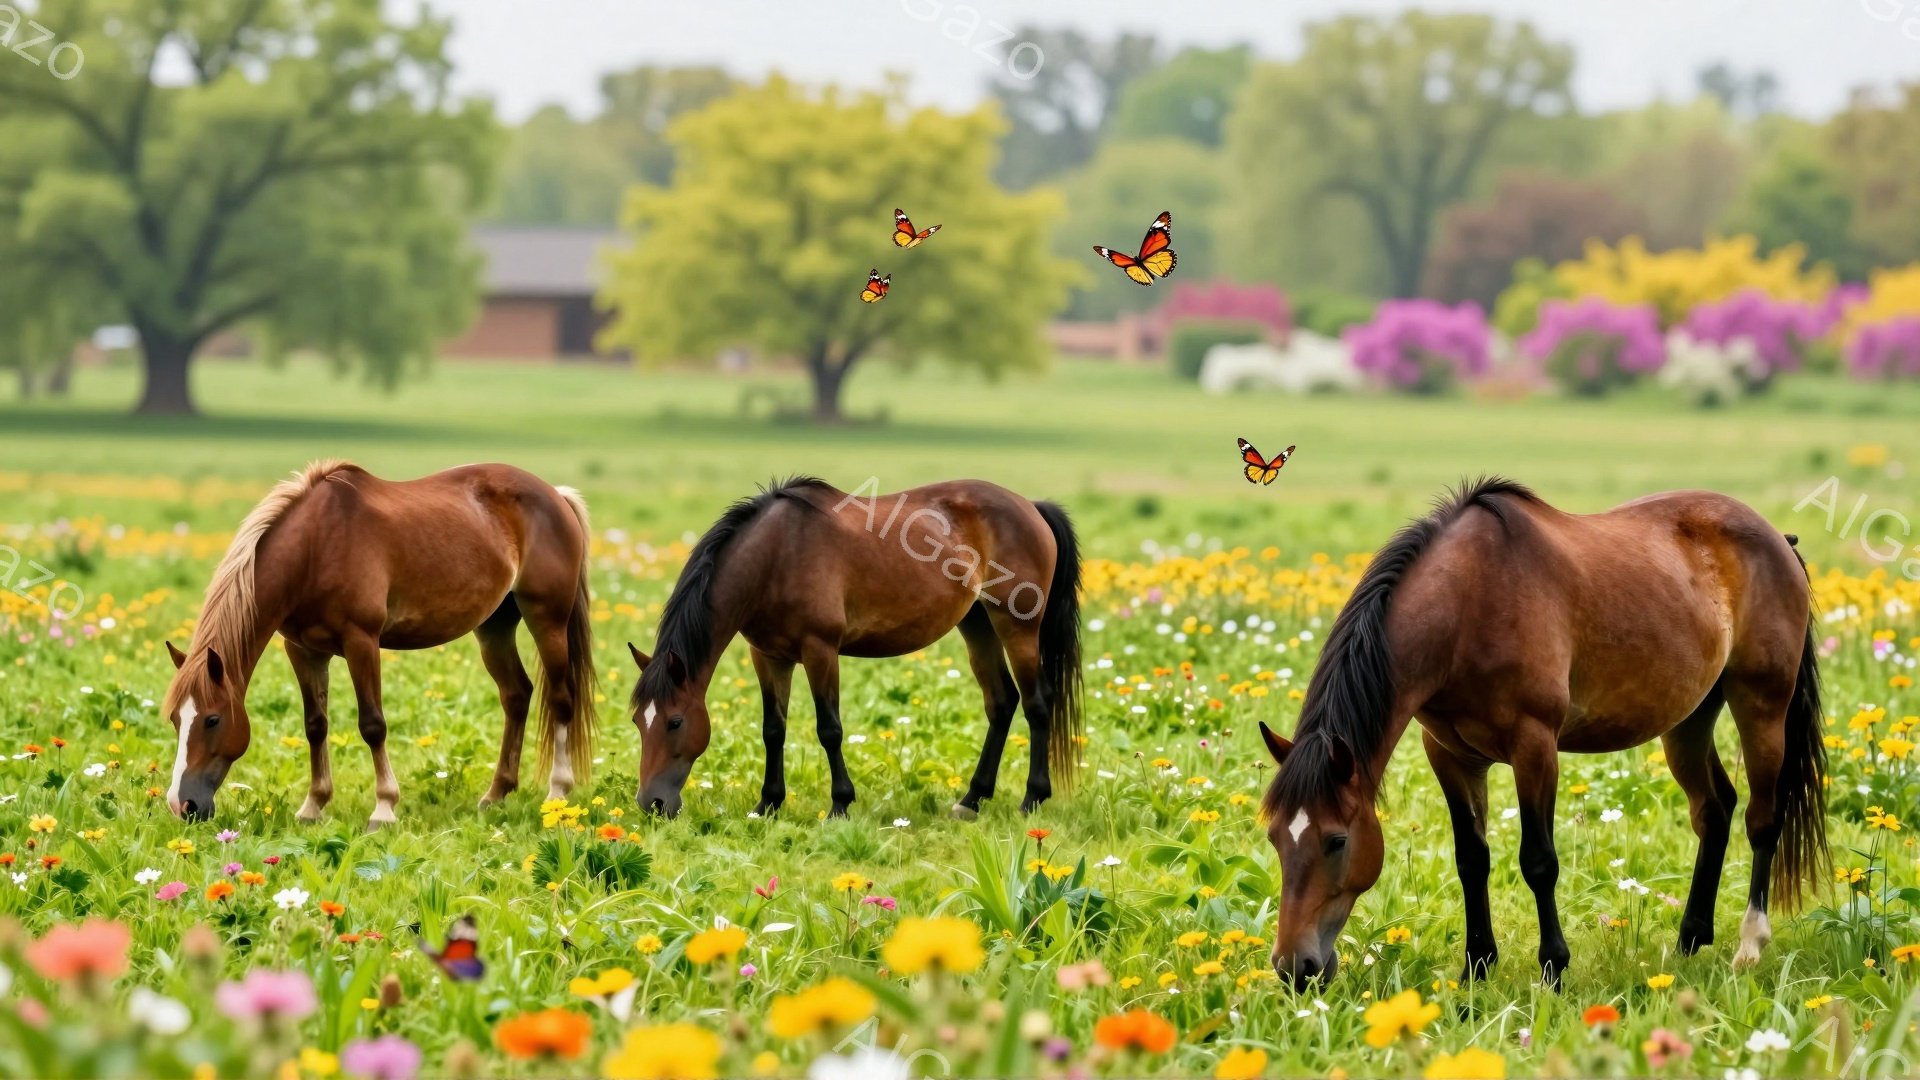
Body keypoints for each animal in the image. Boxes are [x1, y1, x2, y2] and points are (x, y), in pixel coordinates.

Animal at [160, 461, 599, 828]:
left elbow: (372, 725)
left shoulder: (362, 642)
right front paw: (313, 806)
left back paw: (558, 793)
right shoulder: (303, 651)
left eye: (212, 719)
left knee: (560, 698)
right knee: (516, 695)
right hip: (494, 627)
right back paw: (496, 794)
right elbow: (315, 725)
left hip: (547, 619)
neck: (315, 547)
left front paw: (384, 808)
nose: (183, 805)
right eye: (176, 720)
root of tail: (556, 495)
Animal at [624, 476, 1081, 820]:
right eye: (637, 722)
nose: (652, 804)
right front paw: (767, 804)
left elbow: (830, 729)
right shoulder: (768, 657)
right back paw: (971, 800)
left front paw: (840, 805)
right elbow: (773, 730)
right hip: (977, 624)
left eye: (675, 722)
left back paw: (1032, 799)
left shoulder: (820, 651)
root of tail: (1030, 506)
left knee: (1037, 704)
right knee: (1001, 703)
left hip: (1017, 627)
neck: (775, 556)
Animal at [1257, 478, 1826, 990]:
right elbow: (1472, 859)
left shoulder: (1534, 746)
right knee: (1714, 808)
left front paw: (1553, 966)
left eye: (1336, 840)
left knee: (1762, 819)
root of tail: (1778, 539)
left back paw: (1749, 946)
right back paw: (1689, 940)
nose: (1294, 968)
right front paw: (1476, 968)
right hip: (1688, 720)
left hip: (1761, 704)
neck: (1468, 605)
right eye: (1274, 837)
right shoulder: (1449, 754)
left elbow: (1538, 861)